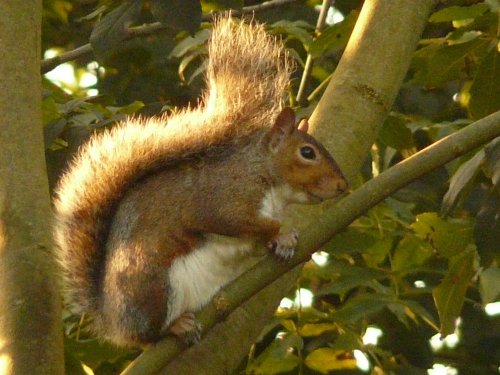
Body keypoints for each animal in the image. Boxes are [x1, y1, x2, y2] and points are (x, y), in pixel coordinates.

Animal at [52, 16, 346, 346]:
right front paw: (281, 232)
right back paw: (175, 327)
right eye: (307, 152)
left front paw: (281, 242)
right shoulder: (226, 195)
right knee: (147, 335)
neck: (267, 176)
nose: (343, 186)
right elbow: (232, 220)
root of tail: (112, 320)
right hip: (153, 284)